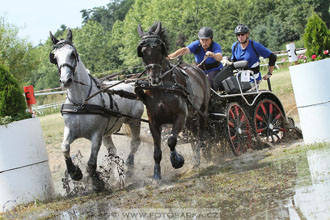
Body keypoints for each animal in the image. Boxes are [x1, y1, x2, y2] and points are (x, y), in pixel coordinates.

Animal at [48, 29, 144, 191]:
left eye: (72, 54)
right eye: (54, 57)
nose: (65, 81)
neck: (81, 102)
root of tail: (130, 85)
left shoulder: (96, 135)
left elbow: (91, 163)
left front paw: (96, 182)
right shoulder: (70, 130)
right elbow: (65, 147)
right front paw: (75, 173)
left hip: (134, 120)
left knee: (135, 143)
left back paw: (129, 168)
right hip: (108, 133)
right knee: (112, 151)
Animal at [135, 22, 210, 180]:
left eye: (159, 49)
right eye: (142, 52)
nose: (154, 79)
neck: (163, 88)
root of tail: (199, 69)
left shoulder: (180, 117)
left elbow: (171, 140)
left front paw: (177, 160)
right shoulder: (153, 122)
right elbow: (157, 151)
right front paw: (156, 175)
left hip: (202, 112)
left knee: (200, 135)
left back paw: (199, 159)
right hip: (190, 119)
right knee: (194, 137)